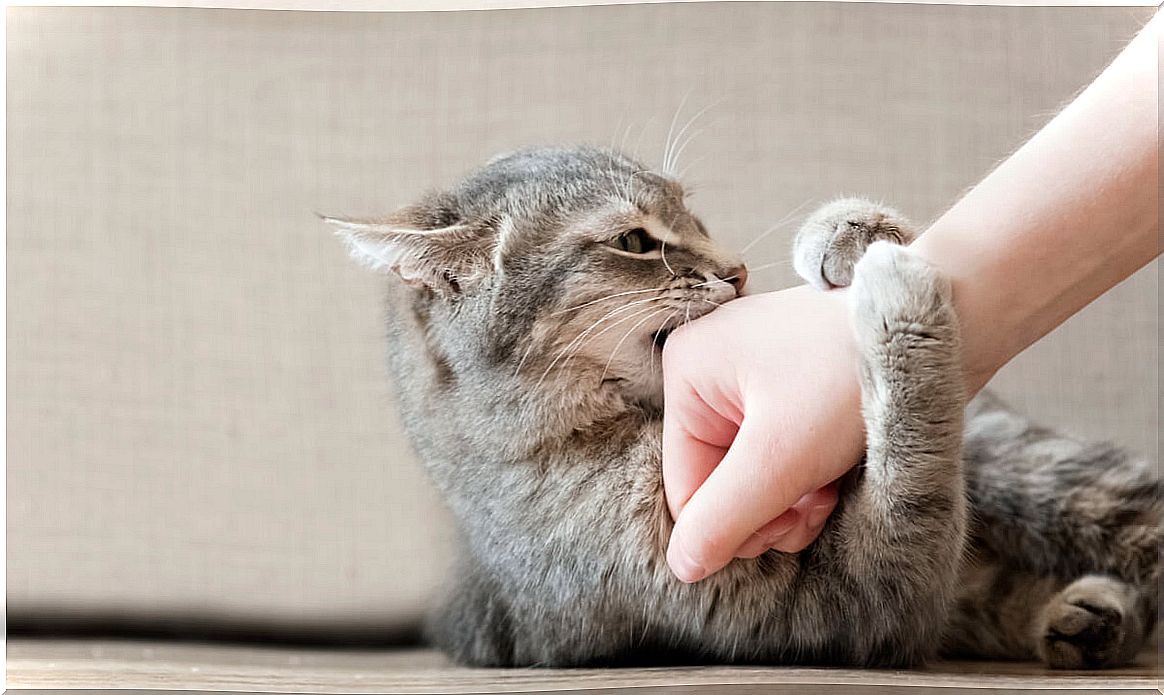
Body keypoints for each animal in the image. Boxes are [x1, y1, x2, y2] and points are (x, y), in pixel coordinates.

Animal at [323, 144, 1159, 665]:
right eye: (633, 240)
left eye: (692, 214)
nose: (737, 270)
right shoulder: (854, 606)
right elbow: (914, 486)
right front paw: (899, 305)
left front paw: (847, 234)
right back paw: (1084, 620)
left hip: (1029, 468)